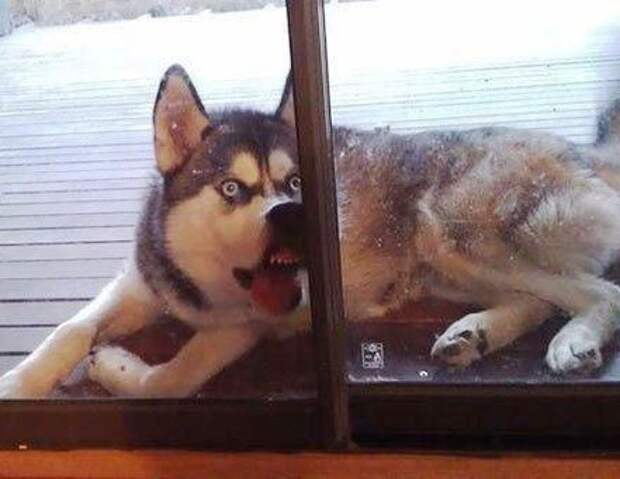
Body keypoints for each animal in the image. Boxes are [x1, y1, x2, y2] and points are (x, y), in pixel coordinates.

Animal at [1, 65, 620, 398]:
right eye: (232, 188)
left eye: (295, 182)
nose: (289, 215)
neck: (198, 288)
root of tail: (582, 151)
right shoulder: (138, 282)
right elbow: (69, 332)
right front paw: (18, 385)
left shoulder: (241, 327)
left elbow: (169, 380)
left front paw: (115, 366)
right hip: (443, 267)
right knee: (537, 299)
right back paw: (473, 334)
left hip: (455, 234)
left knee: (599, 291)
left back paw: (574, 339)